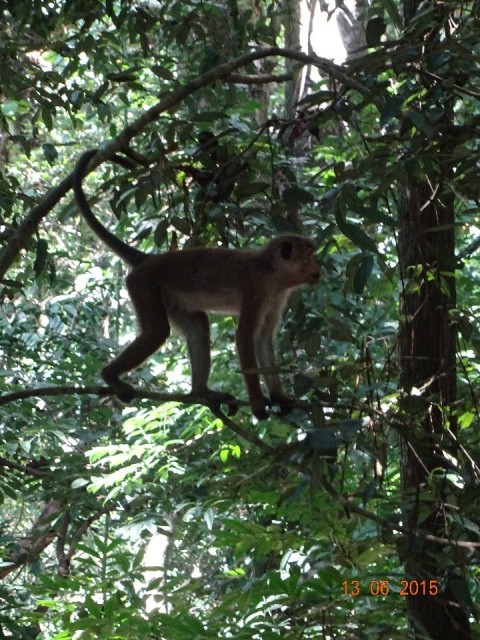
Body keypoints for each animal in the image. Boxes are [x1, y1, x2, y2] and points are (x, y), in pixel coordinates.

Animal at [72, 149, 321, 419]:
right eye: (309, 255)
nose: (319, 267)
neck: (273, 271)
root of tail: (150, 259)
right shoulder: (258, 287)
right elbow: (245, 338)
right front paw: (257, 401)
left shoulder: (277, 295)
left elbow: (263, 338)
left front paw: (279, 396)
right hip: (143, 283)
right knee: (157, 332)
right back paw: (110, 376)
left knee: (198, 323)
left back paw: (201, 392)